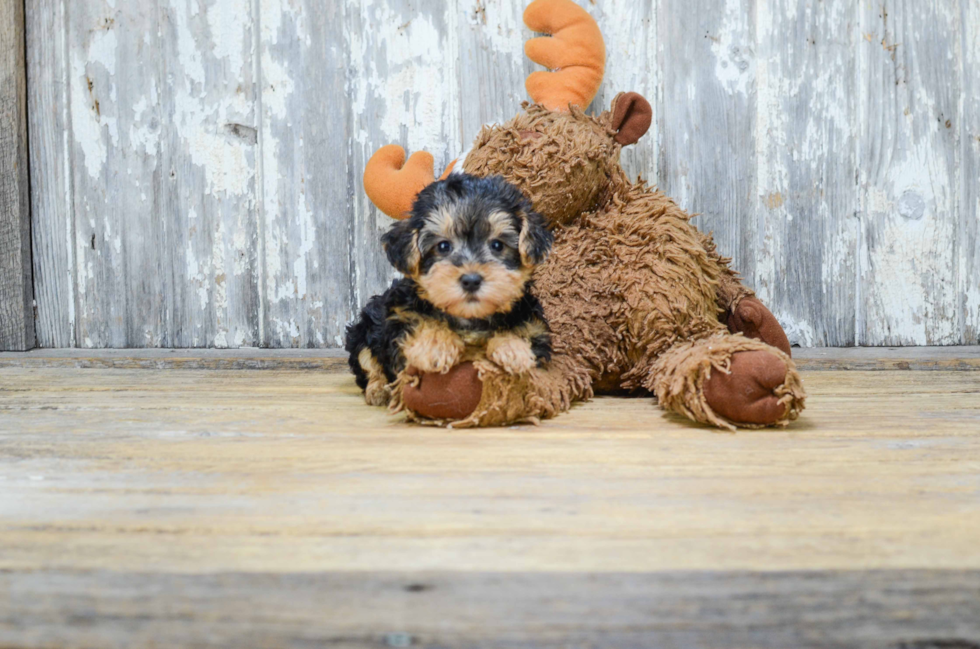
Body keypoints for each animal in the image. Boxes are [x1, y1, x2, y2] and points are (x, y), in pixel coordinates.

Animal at [346, 172, 556, 404]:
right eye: (443, 246)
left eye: (497, 245)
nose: (471, 280)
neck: (469, 318)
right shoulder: (397, 317)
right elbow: (419, 321)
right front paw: (436, 344)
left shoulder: (536, 327)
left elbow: (522, 330)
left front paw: (513, 347)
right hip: (362, 330)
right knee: (367, 362)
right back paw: (378, 390)